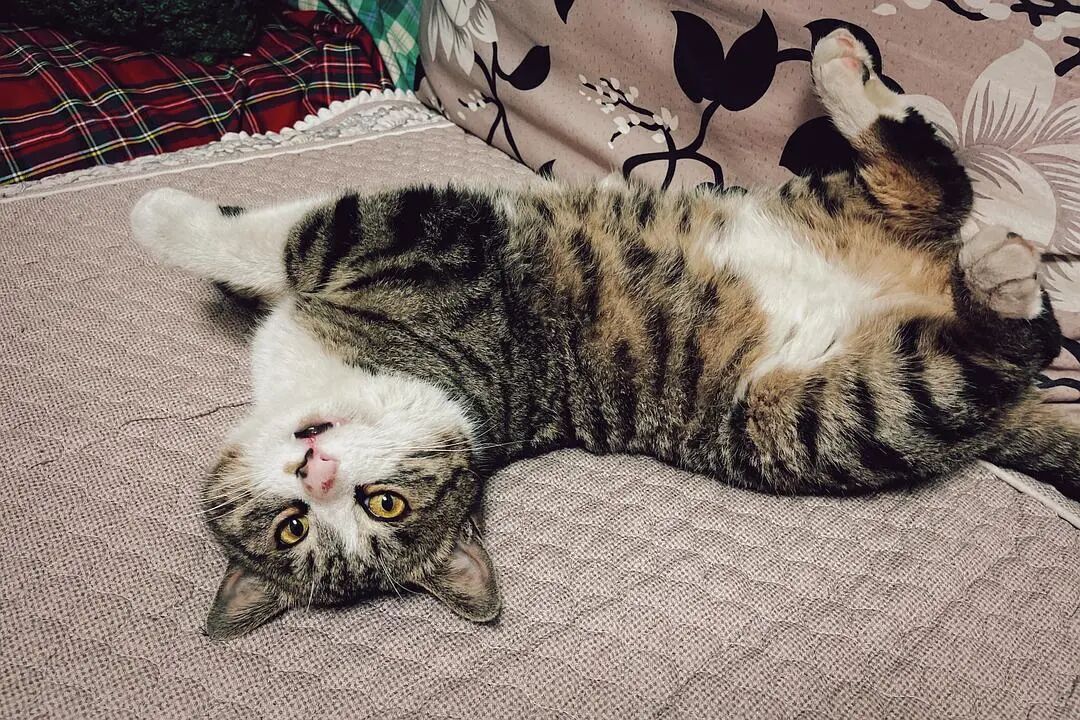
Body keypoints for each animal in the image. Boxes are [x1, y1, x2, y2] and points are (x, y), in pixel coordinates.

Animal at [131, 29, 1080, 639]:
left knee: (950, 206)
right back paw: (996, 266)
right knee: (979, 280)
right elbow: (272, 253)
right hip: (834, 410)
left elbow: (277, 238)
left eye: (383, 504)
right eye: (296, 529)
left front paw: (158, 209)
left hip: (838, 258)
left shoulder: (406, 233)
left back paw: (854, 81)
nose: (317, 472)